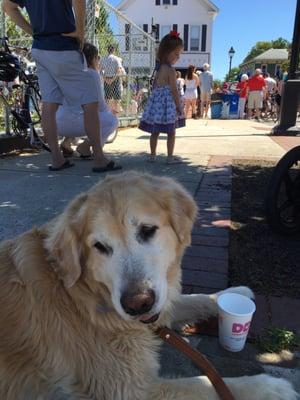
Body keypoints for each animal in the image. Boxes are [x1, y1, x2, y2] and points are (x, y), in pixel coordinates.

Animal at [0, 173, 296, 400]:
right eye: (99, 247)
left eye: (147, 230)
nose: (137, 304)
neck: (86, 296)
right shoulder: (130, 391)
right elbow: (204, 384)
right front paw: (270, 386)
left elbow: (193, 298)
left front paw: (232, 294)